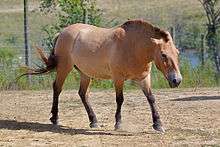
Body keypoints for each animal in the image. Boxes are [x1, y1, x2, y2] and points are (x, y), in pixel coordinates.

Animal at [23, 19, 182, 133]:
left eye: (177, 52)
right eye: (163, 54)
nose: (177, 80)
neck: (133, 46)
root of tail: (61, 33)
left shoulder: (143, 78)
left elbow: (151, 99)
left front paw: (158, 124)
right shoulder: (118, 78)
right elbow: (120, 99)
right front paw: (118, 124)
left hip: (85, 73)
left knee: (83, 94)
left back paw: (94, 121)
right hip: (64, 68)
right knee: (57, 88)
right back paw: (55, 118)